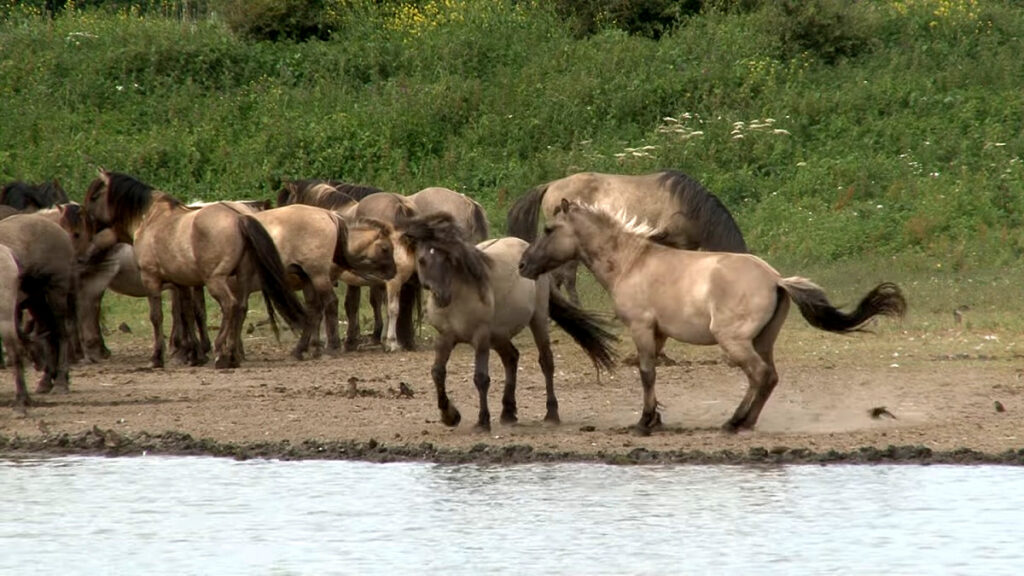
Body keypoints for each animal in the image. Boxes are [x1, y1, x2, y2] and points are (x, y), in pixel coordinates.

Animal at [84, 170, 305, 366]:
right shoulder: (182, 283)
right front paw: (193, 354)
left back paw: (221, 353)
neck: (150, 219)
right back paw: (232, 354)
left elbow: (157, 317)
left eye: (94, 196)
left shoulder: (151, 279)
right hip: (241, 277)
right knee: (240, 308)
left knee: (229, 305)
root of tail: (239, 217)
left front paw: (157, 357)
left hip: (216, 280)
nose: (86, 229)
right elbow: (188, 314)